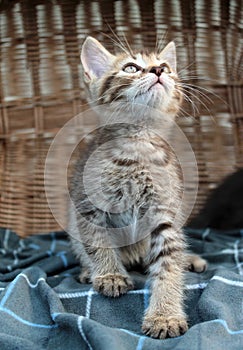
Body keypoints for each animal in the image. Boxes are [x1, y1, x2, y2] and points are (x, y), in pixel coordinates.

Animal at [69, 36, 207, 340]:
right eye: (131, 68)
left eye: (166, 66)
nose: (157, 70)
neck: (139, 142)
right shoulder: (87, 204)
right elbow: (97, 241)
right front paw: (109, 274)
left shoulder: (165, 214)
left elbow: (169, 264)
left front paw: (165, 315)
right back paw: (89, 270)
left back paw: (189, 260)